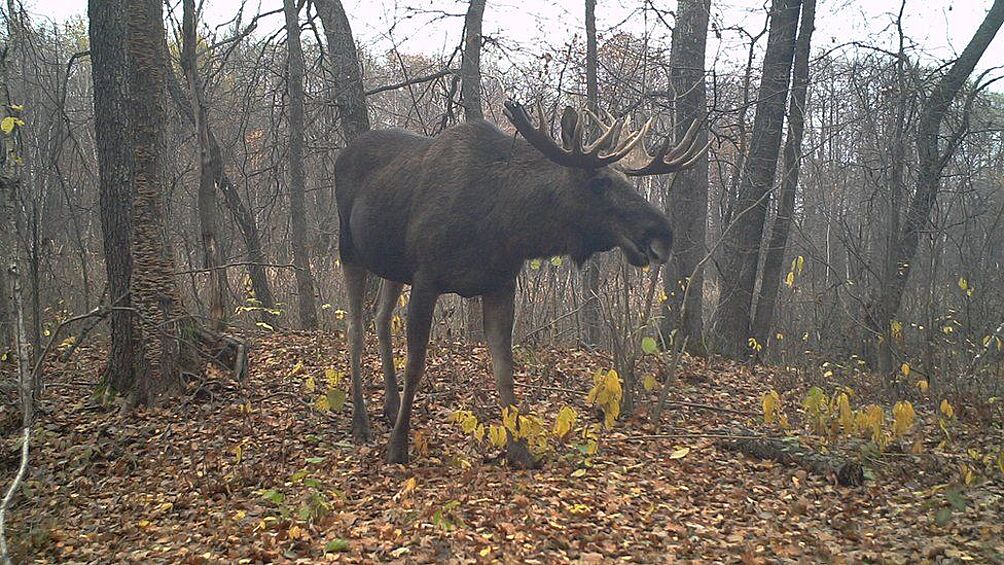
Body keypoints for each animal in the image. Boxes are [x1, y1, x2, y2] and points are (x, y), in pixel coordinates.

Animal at [335, 101, 706, 469]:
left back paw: (390, 406)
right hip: (349, 250)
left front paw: (520, 450)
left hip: (393, 267)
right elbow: (415, 365)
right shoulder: (426, 277)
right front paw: (398, 447)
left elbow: (504, 368)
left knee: (381, 318)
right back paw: (360, 423)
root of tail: (343, 153)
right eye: (600, 182)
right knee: (355, 329)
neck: (506, 227)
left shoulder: (501, 285)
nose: (663, 234)